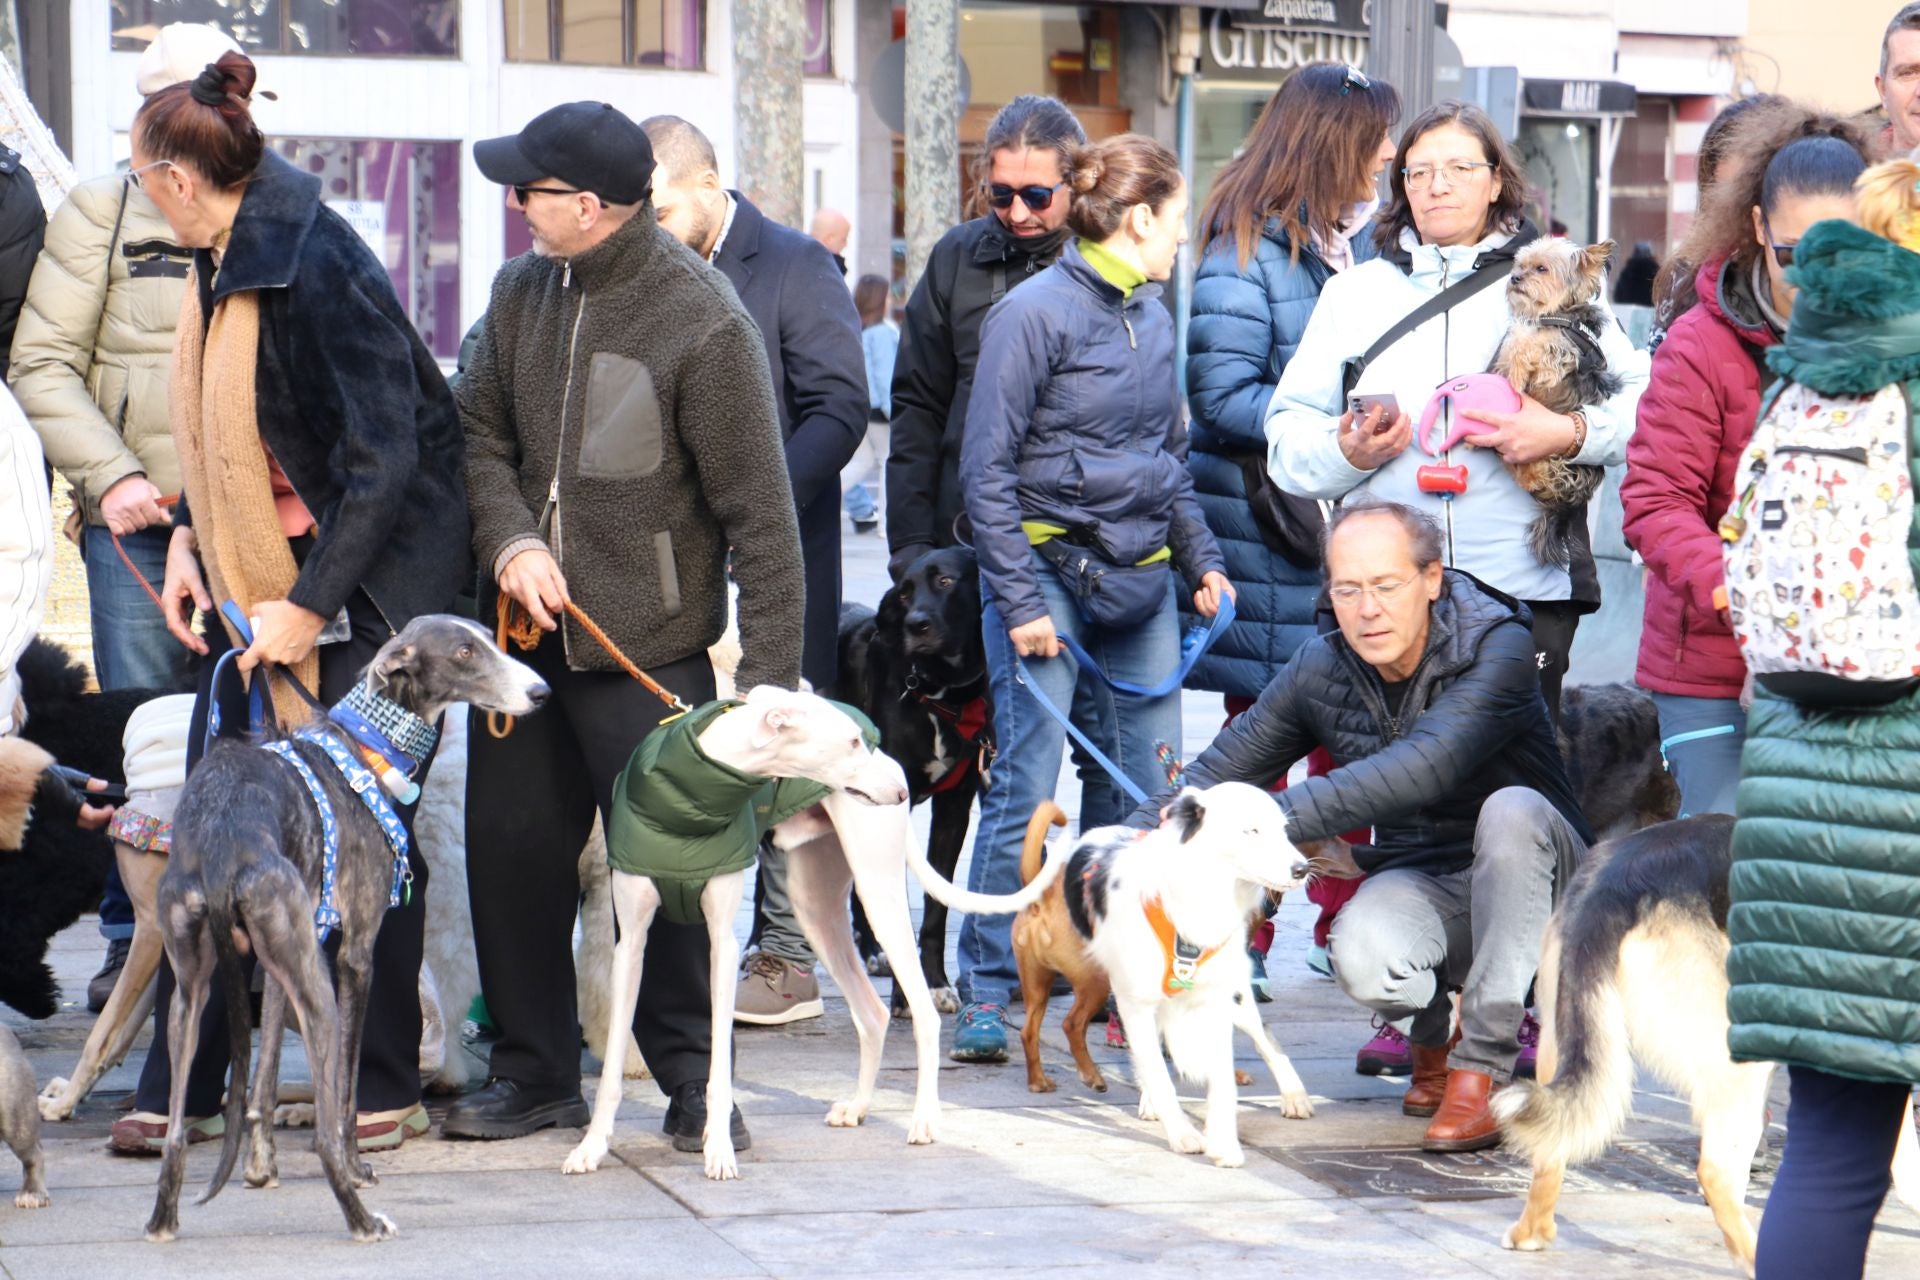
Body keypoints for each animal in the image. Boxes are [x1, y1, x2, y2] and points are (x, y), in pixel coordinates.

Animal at [144, 614, 541, 1243]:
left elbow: (261, 1079)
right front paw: (356, 1165)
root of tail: (222, 843)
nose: (540, 692)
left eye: (488, 637)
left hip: (192, 993)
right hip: (321, 994)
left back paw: (163, 1218)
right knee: (328, 1127)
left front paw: (261, 1167)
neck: (364, 745)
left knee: (178, 1128)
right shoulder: (355, 955)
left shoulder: (280, 965)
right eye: (463, 651)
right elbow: (349, 1084)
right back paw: (361, 1215)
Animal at [837, 545, 990, 1013]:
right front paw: (908, 997)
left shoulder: (954, 809)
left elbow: (936, 908)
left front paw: (935, 983)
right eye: (904, 592)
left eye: (945, 581)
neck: (939, 691)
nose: (915, 625)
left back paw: (872, 951)